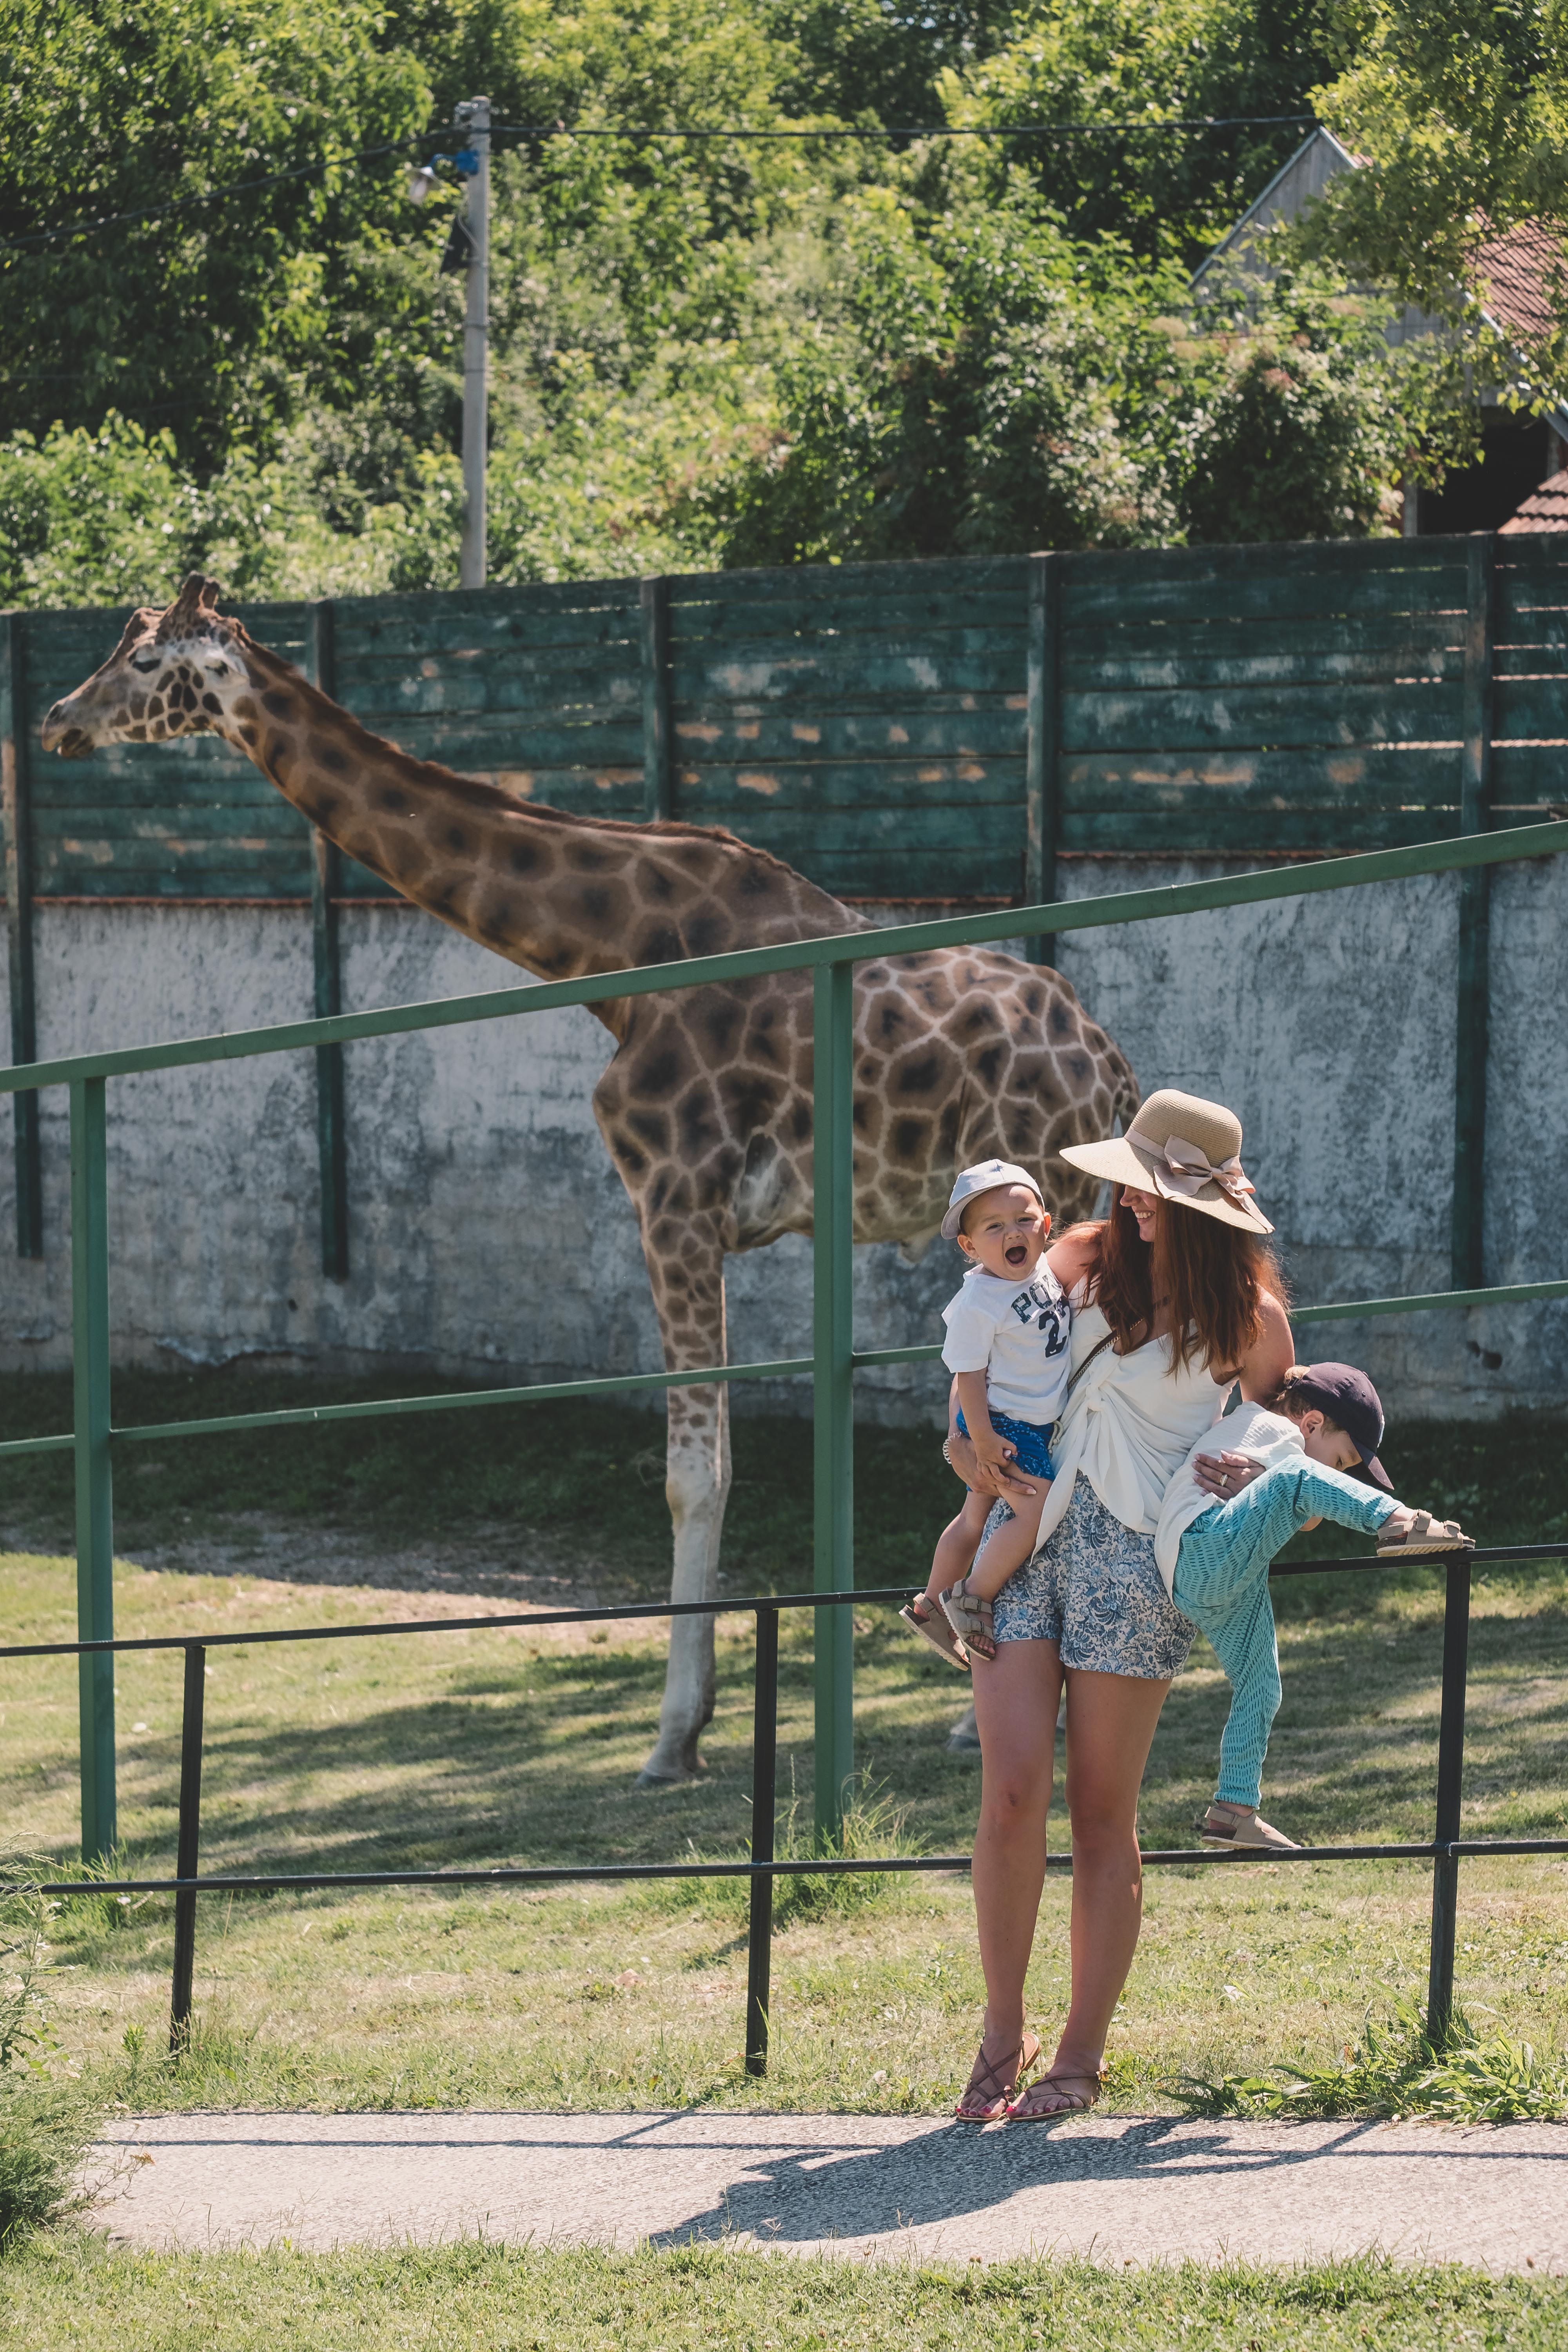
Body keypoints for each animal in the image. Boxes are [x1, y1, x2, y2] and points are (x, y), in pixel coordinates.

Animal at [40, 574, 1142, 1778]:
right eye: (120, 646)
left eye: (147, 664)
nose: (57, 720)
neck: (611, 955)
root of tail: (1110, 1069)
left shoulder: (673, 1200)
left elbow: (693, 1474)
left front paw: (674, 1735)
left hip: (1051, 1212)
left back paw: (983, 1708)